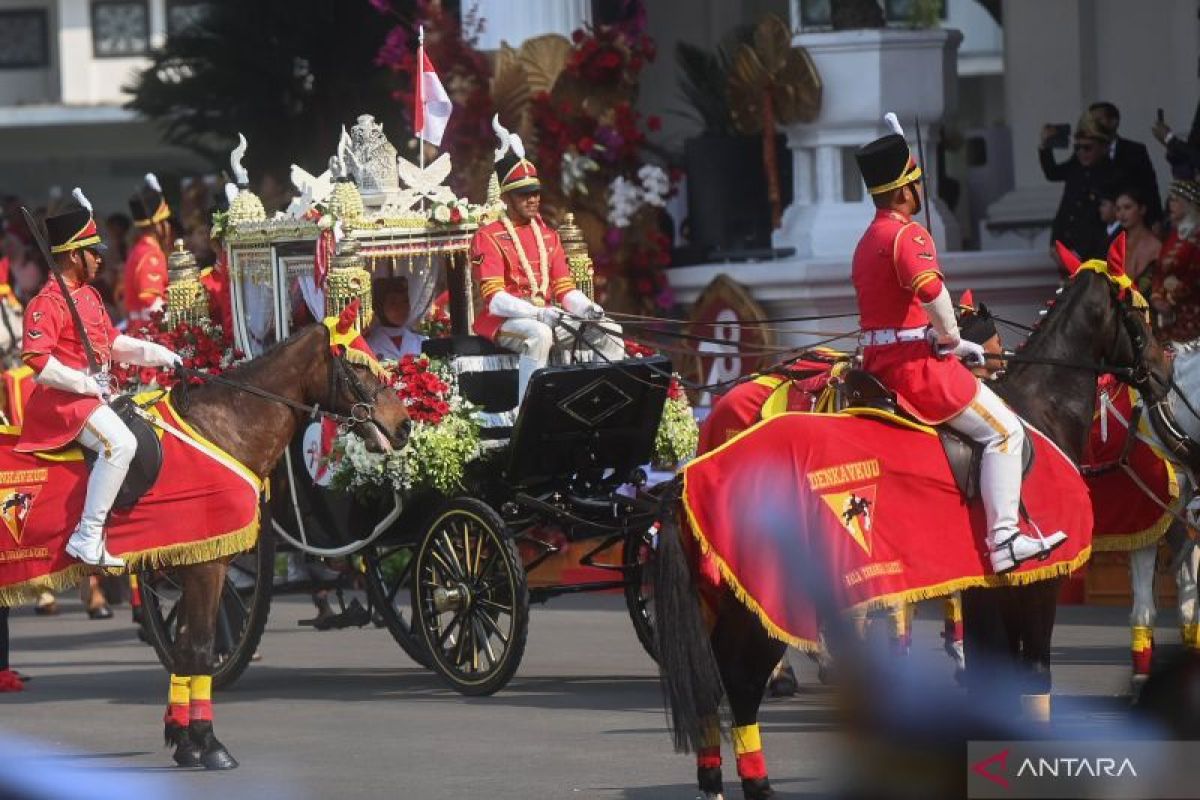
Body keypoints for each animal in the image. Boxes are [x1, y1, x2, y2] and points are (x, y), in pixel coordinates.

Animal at [141, 326, 408, 767]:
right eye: (357, 368)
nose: (404, 425)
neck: (222, 431)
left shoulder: (195, 563)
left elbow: (184, 647)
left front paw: (183, 739)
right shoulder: (207, 565)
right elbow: (199, 648)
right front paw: (207, 741)